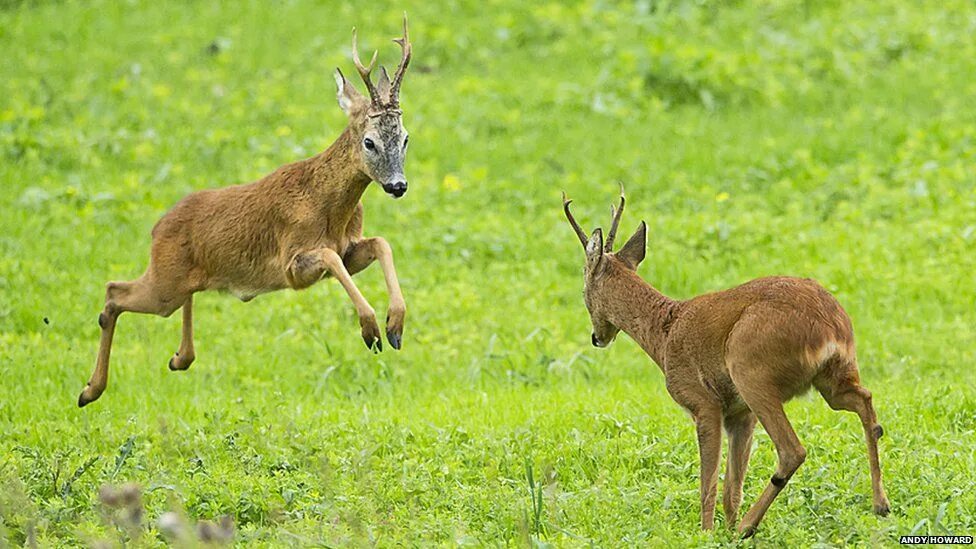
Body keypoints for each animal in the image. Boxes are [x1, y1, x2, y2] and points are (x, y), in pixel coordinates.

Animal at [77, 17, 412, 406]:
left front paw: (394, 327)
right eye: (369, 141)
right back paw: (89, 390)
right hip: (164, 283)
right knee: (113, 292)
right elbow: (330, 257)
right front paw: (370, 329)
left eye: (405, 138)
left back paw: (177, 358)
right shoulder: (292, 263)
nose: (398, 185)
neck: (330, 206)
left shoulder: (350, 247)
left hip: (177, 282)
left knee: (164, 300)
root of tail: (157, 228)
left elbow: (381, 243)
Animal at [564, 187, 892, 536]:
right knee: (865, 403)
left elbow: (708, 483)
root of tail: (830, 326)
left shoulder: (703, 403)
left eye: (584, 289)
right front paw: (725, 530)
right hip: (832, 378)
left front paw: (706, 533)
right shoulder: (738, 414)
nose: (596, 337)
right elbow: (731, 487)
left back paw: (749, 525)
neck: (664, 332)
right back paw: (880, 504)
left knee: (793, 450)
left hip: (751, 372)